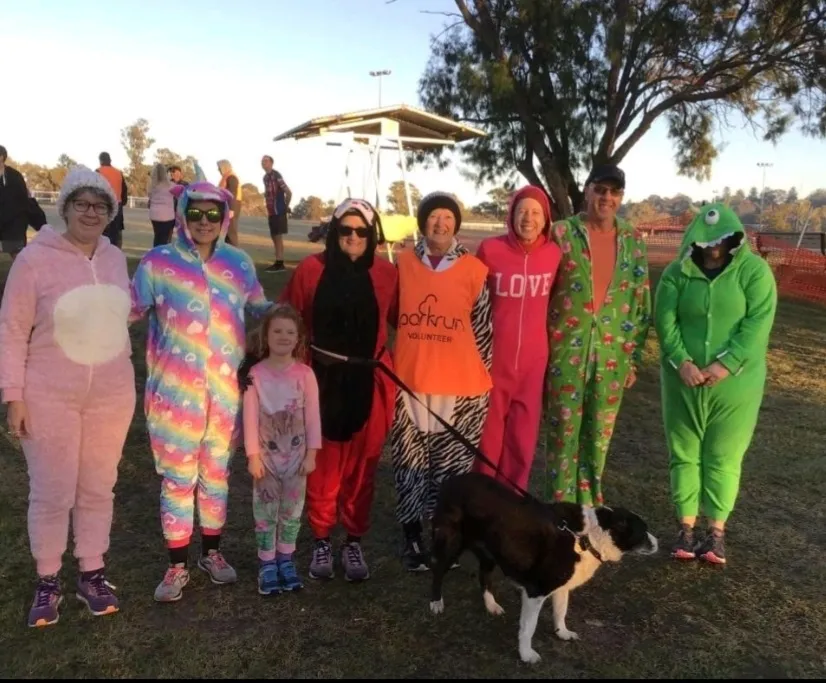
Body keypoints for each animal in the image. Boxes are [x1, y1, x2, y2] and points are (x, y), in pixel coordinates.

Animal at [428, 472, 652, 664]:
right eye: (643, 533)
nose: (657, 543)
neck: (586, 538)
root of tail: (452, 479)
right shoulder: (536, 592)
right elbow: (529, 627)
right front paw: (526, 655)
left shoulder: (562, 587)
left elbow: (561, 611)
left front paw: (562, 633)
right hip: (452, 543)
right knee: (437, 571)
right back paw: (436, 603)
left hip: (490, 551)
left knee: (484, 576)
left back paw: (491, 605)